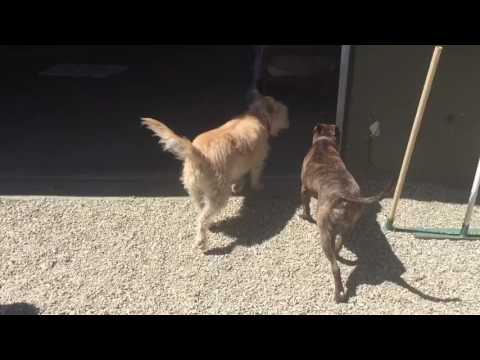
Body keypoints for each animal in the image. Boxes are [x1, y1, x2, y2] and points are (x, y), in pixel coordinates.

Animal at [141, 91, 286, 252]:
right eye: (282, 111)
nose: (288, 120)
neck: (256, 116)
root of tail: (200, 155)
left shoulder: (237, 167)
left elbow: (239, 177)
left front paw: (238, 186)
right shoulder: (257, 163)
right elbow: (255, 176)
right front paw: (257, 186)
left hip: (195, 191)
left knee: (202, 209)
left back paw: (211, 224)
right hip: (218, 195)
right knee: (202, 219)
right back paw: (202, 241)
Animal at [300, 122, 394, 302]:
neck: (324, 141)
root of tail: (345, 196)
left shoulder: (303, 188)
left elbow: (305, 205)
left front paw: (304, 216)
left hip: (324, 232)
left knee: (335, 267)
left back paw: (338, 295)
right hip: (347, 227)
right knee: (340, 244)